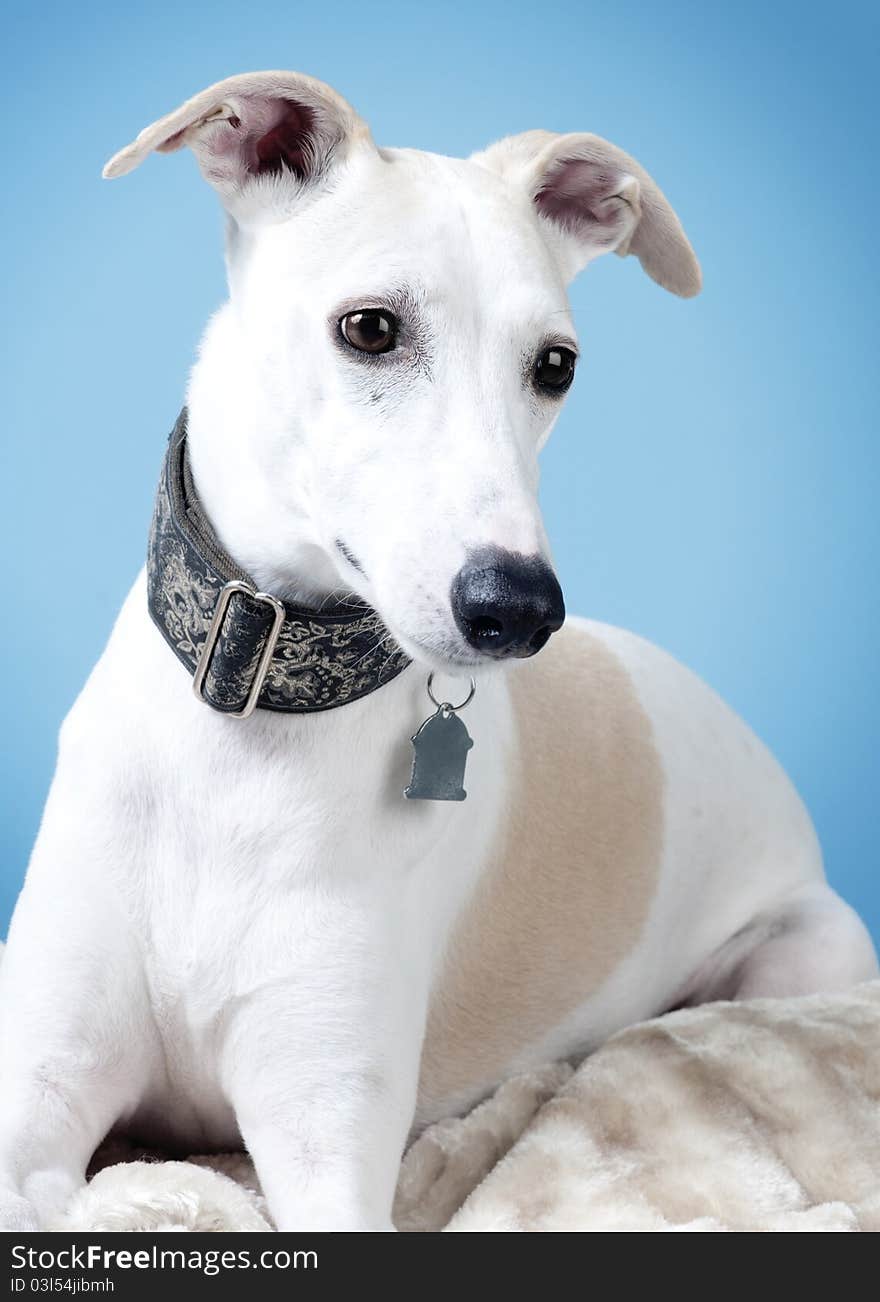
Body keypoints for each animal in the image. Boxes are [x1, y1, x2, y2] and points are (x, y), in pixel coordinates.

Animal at [3, 71, 874, 1229]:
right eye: (370, 327)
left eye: (555, 365)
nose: (519, 607)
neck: (251, 731)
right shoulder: (40, 1087)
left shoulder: (325, 1137)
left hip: (805, 953)